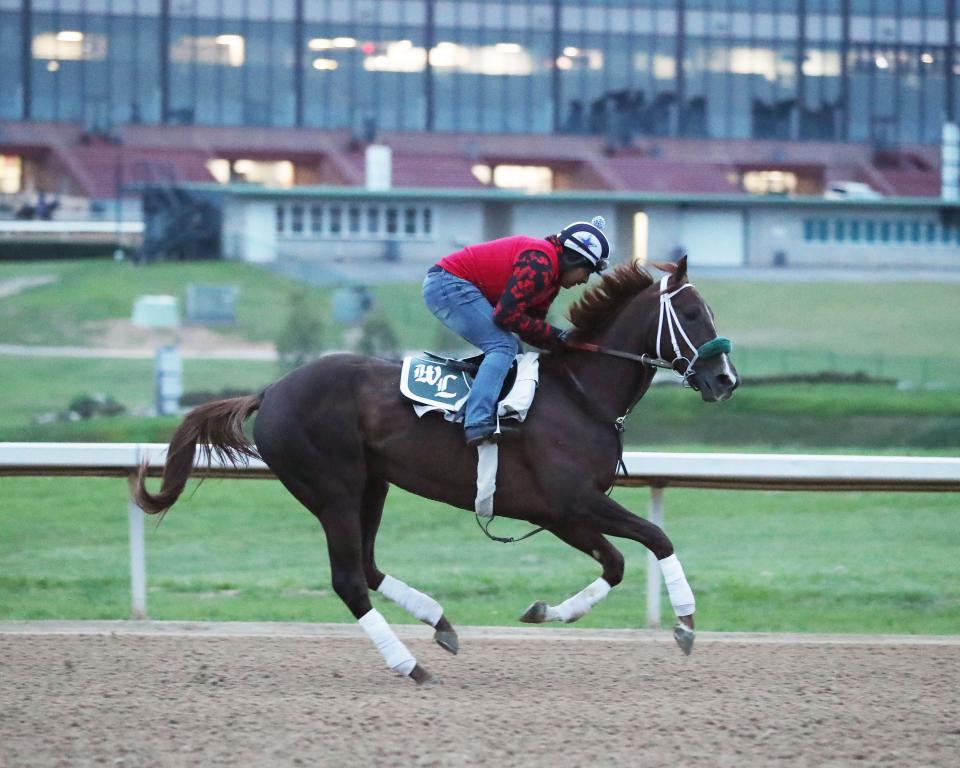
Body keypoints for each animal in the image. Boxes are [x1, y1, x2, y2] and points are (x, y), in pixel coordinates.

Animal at [133, 256, 736, 684]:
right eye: (691, 314)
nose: (725, 380)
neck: (579, 394)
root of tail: (271, 390)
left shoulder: (560, 513)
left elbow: (615, 563)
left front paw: (544, 611)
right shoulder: (573, 502)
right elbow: (656, 538)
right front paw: (685, 623)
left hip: (371, 485)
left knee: (368, 567)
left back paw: (440, 623)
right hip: (332, 488)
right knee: (349, 579)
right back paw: (410, 666)